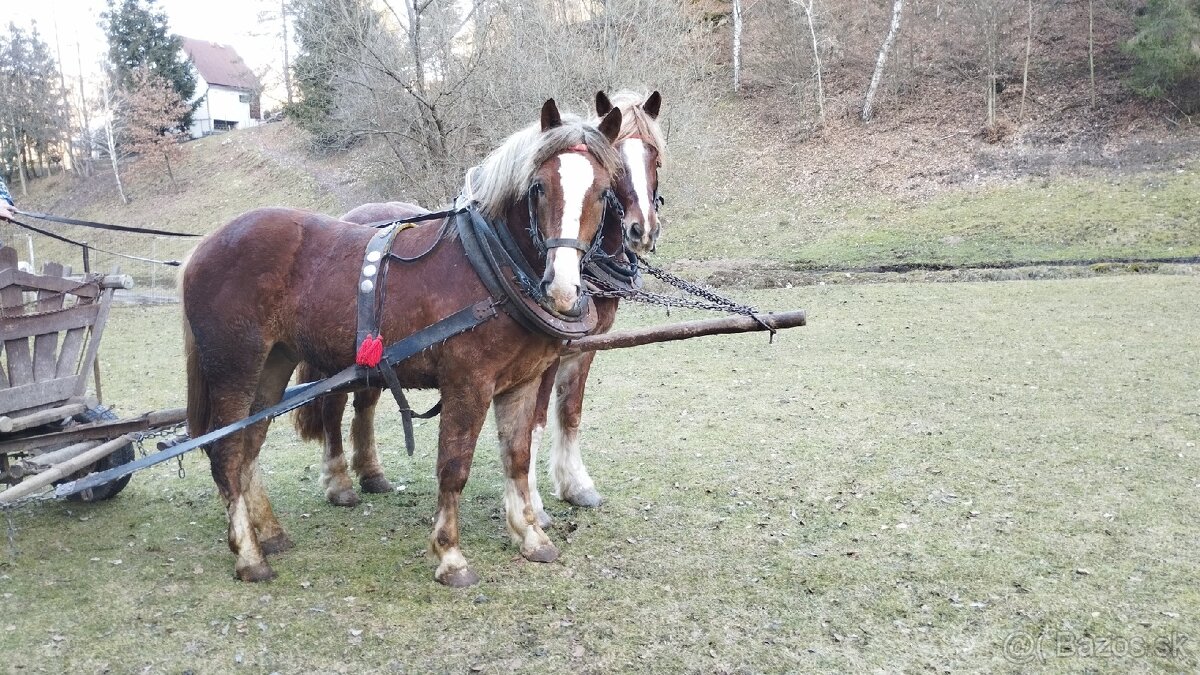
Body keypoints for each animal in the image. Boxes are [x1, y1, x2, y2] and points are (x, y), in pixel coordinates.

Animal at [184, 99, 628, 583]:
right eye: (539, 187)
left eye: (602, 192)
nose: (562, 288)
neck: (491, 267)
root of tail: (202, 248)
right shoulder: (468, 385)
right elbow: (454, 467)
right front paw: (450, 556)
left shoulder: (521, 384)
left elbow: (516, 457)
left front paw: (531, 537)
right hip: (235, 369)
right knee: (227, 452)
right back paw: (249, 555)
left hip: (273, 365)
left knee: (249, 446)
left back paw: (269, 533)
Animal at [292, 90, 667, 521]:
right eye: (618, 165)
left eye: (654, 157)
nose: (641, 229)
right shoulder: (546, 356)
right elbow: (535, 420)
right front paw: (533, 503)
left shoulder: (583, 348)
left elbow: (569, 411)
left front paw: (575, 486)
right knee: (333, 403)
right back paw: (339, 481)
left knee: (365, 398)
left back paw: (372, 474)